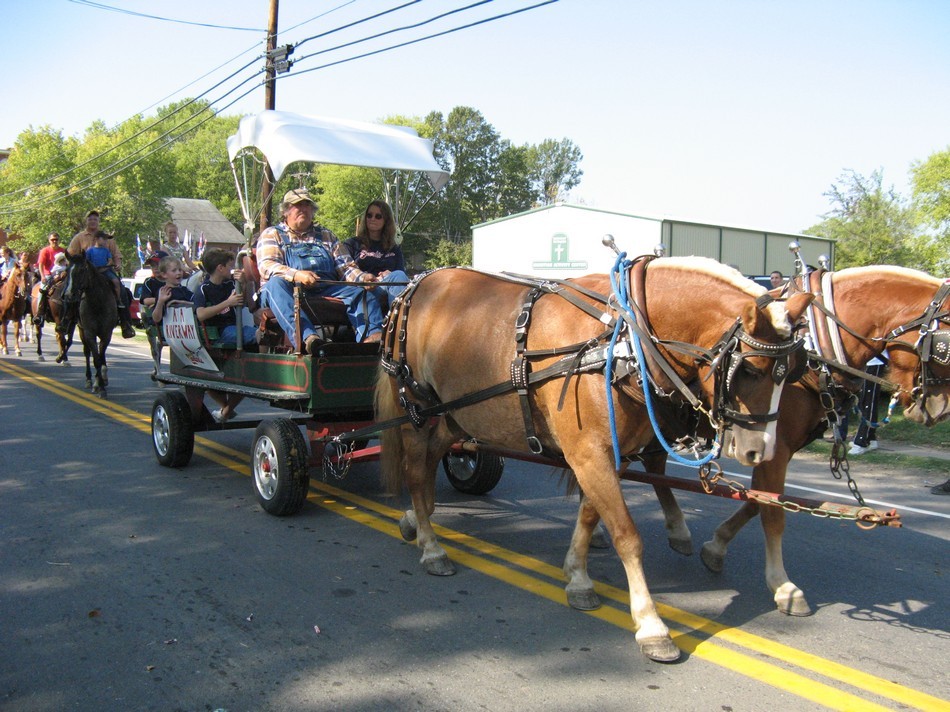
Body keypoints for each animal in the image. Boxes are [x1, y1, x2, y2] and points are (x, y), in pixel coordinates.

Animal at [67, 250, 116, 398]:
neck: (97, 302)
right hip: (81, 331)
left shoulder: (107, 333)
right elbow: (96, 359)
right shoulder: (89, 333)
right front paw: (100, 387)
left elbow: (101, 355)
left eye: (82, 270)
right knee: (87, 353)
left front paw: (101, 384)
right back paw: (90, 380)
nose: (70, 295)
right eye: (67, 270)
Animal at [376, 260, 816, 660]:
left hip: (458, 414)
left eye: (793, 371)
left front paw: (577, 577)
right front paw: (651, 625)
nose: (760, 450)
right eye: (751, 370)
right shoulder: (589, 452)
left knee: (433, 459)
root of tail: (414, 285)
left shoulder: (605, 455)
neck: (622, 342)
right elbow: (626, 535)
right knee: (415, 470)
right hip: (416, 409)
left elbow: (590, 515)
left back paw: (417, 519)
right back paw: (432, 546)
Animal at [572, 266, 950, 616]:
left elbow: (761, 501)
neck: (820, 345)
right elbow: (772, 512)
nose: (939, 408)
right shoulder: (775, 448)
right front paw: (783, 586)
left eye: (792, 368)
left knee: (650, 465)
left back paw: (666, 530)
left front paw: (717, 546)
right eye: (944, 348)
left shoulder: (770, 448)